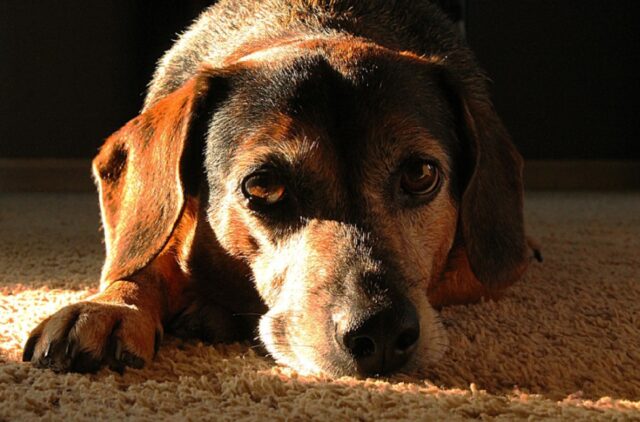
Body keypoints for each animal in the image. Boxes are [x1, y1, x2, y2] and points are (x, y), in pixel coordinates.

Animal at [22, 0, 532, 376]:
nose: (384, 332)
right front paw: (113, 306)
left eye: (421, 174)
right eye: (263, 185)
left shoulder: (477, 268)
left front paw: (208, 306)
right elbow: (150, 258)